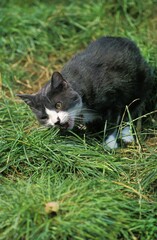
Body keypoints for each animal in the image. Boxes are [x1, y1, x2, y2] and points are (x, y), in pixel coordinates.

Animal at [17, 36, 153, 149]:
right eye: (44, 117)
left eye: (58, 105)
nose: (57, 122)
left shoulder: (113, 98)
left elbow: (112, 122)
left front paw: (109, 144)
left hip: (141, 82)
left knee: (133, 108)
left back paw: (127, 135)